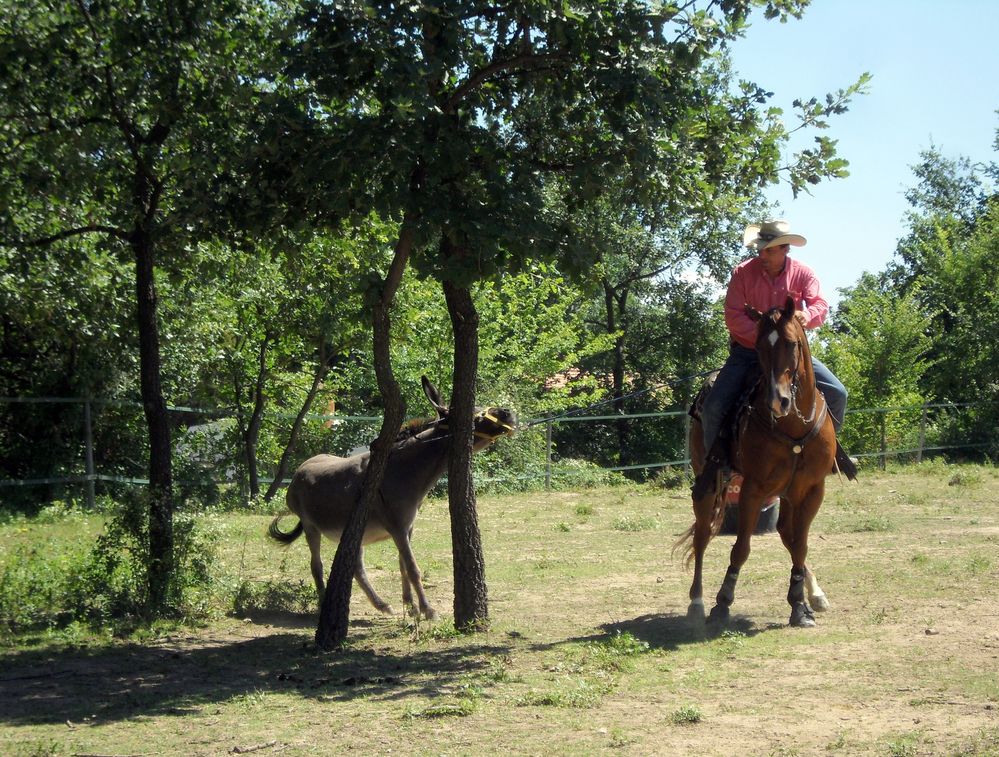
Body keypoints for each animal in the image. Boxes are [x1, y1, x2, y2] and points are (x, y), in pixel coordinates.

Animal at [268, 378, 516, 620]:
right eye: (476, 415)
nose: (507, 412)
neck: (405, 470)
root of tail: (300, 470)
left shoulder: (407, 529)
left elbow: (403, 564)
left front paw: (412, 607)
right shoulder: (397, 527)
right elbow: (413, 567)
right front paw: (427, 610)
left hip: (353, 530)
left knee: (356, 567)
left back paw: (381, 605)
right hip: (311, 527)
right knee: (317, 566)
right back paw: (323, 605)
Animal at [680, 296, 836, 628]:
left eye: (791, 343)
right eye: (759, 345)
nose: (778, 401)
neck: (793, 426)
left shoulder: (812, 490)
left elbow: (800, 545)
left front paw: (799, 605)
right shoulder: (752, 489)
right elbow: (741, 549)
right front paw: (722, 604)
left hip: (786, 493)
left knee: (787, 534)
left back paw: (814, 592)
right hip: (708, 484)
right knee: (702, 536)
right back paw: (697, 603)